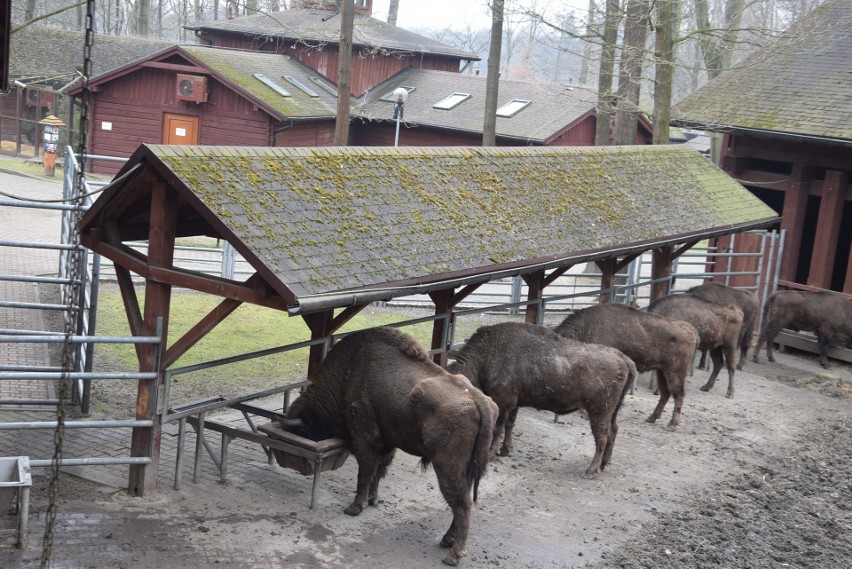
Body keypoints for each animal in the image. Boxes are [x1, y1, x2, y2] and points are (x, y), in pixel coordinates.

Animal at [286, 324, 500, 564]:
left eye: (304, 429)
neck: (350, 373)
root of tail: (479, 399)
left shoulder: (365, 438)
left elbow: (366, 472)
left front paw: (355, 507)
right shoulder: (388, 443)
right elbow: (378, 472)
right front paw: (372, 500)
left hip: (448, 467)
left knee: (462, 505)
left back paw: (453, 555)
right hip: (467, 469)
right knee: (463, 502)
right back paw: (447, 540)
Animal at [446, 322, 632, 478]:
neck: (486, 355)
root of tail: (623, 358)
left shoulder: (503, 403)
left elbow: (498, 429)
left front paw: (493, 453)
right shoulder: (514, 404)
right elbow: (510, 425)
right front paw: (506, 449)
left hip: (599, 411)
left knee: (602, 437)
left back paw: (590, 471)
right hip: (611, 411)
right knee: (613, 430)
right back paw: (604, 464)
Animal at [560, 302, 700, 426]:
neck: (587, 328)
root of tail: (691, 329)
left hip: (676, 371)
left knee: (678, 393)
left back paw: (672, 424)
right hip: (662, 371)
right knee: (666, 393)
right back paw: (652, 418)